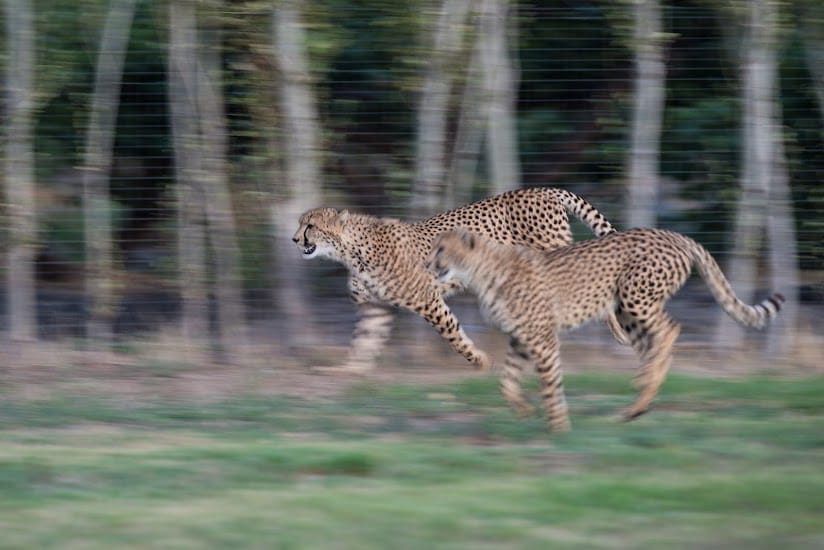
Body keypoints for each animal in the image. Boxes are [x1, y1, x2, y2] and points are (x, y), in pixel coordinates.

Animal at [292, 187, 620, 376]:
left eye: (311, 226)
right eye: (301, 223)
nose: (294, 239)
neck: (350, 251)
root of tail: (541, 189)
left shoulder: (426, 297)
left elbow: (452, 334)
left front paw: (480, 361)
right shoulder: (376, 308)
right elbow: (364, 341)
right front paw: (349, 369)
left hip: (553, 253)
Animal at [428, 226, 784, 434]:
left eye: (442, 250)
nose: (429, 266)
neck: (479, 272)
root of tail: (673, 234)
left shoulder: (542, 337)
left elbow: (549, 382)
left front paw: (558, 426)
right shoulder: (519, 338)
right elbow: (507, 382)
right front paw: (525, 411)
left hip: (635, 297)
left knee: (669, 329)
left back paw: (643, 387)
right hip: (626, 310)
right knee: (651, 344)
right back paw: (638, 401)